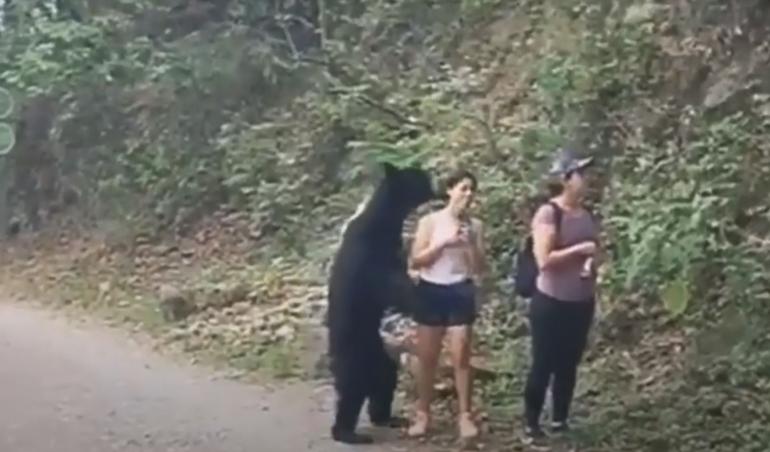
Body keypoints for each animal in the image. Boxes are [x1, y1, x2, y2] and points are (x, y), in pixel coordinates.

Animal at [324, 161, 432, 444]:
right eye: (419, 178)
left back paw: (387, 416)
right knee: (352, 390)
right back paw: (348, 433)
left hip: (380, 356)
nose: (434, 182)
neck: (386, 221)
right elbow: (390, 286)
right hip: (354, 355)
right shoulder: (370, 257)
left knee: (384, 381)